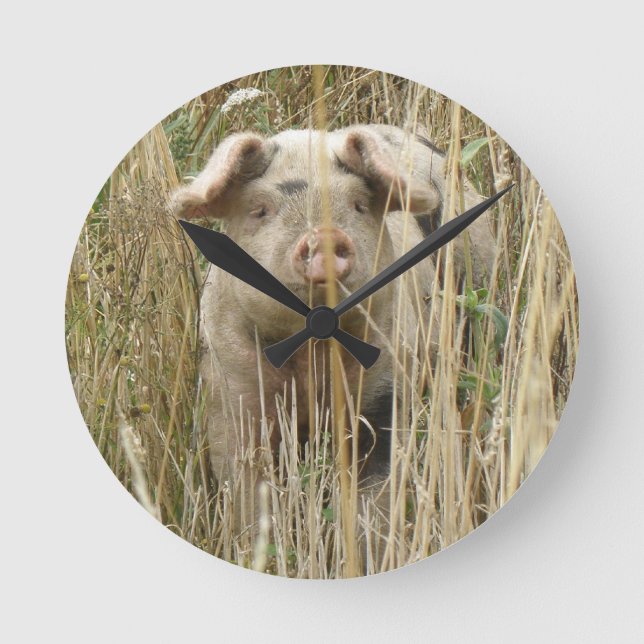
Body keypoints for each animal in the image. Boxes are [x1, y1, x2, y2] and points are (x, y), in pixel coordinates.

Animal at [171, 124, 495, 564]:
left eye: (358, 205)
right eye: (260, 210)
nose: (323, 236)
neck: (313, 357)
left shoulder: (386, 391)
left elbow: (374, 500)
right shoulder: (230, 392)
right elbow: (247, 493)